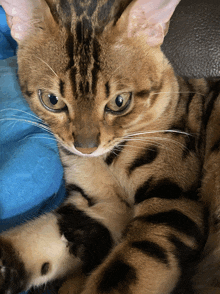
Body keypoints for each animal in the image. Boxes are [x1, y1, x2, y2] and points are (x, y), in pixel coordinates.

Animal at [0, 0, 220, 294]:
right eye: (51, 100)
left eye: (119, 102)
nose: (85, 147)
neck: (107, 162)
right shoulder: (98, 208)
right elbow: (30, 243)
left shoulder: (173, 206)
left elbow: (126, 271)